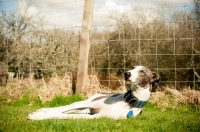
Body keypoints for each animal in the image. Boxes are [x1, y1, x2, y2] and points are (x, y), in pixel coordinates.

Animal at [28, 65, 160, 120]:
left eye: (142, 72)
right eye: (132, 68)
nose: (126, 73)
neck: (130, 102)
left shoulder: (98, 117)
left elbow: (67, 115)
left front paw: (38, 116)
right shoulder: (94, 105)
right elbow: (62, 111)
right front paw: (39, 114)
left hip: (87, 108)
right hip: (87, 102)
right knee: (68, 106)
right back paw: (43, 110)